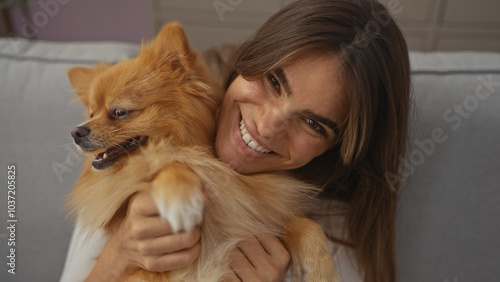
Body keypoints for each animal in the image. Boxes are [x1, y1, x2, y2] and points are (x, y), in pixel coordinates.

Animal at [67, 23, 340, 280]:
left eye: (120, 112)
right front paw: (181, 199)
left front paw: (323, 271)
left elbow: (306, 225)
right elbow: (170, 162)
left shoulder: (257, 215)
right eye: (91, 113)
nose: (76, 131)